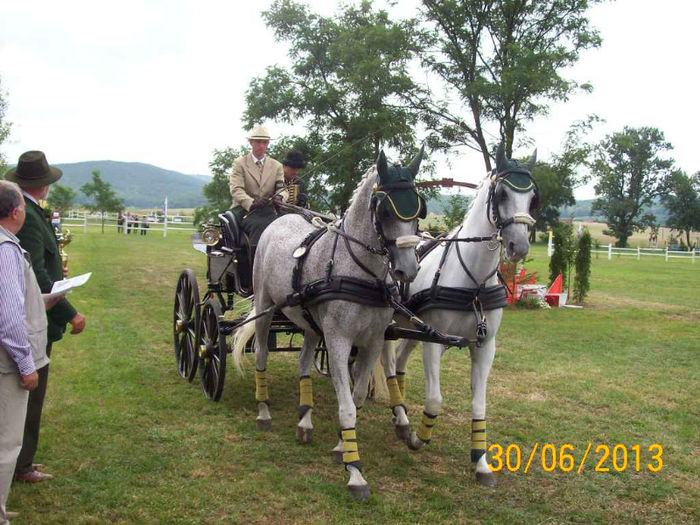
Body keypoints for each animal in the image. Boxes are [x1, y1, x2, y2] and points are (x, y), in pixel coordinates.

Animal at [232, 148, 424, 500]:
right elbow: (345, 405)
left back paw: (304, 421)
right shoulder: (337, 340)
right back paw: (264, 412)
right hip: (265, 308)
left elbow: (356, 398)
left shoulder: (372, 341)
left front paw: (341, 446)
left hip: (308, 324)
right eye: (384, 211)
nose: (408, 270)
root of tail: (280, 218)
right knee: (261, 357)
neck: (358, 269)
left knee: (304, 362)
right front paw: (355, 472)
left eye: (418, 208)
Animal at [380, 144, 540, 488]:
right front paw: (419, 438)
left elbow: (480, 403)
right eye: (502, 193)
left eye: (532, 196)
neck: (473, 283)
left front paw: (480, 462)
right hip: (389, 325)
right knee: (387, 363)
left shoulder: (484, 346)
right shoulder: (434, 343)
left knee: (399, 361)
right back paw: (400, 416)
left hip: (412, 328)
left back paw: (401, 416)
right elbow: (435, 399)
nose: (519, 246)